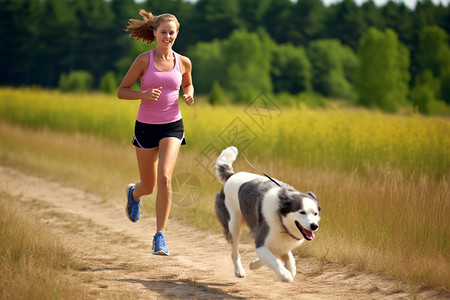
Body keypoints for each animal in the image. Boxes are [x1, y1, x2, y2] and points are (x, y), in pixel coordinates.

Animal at [214, 146, 320, 282]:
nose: (314, 226)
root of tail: (231, 176)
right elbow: (274, 260)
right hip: (233, 223)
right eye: (302, 212)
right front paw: (284, 275)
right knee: (235, 251)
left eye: (315, 214)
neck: (281, 217)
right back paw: (239, 271)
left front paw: (254, 264)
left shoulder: (280, 244)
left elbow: (286, 258)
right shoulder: (262, 240)